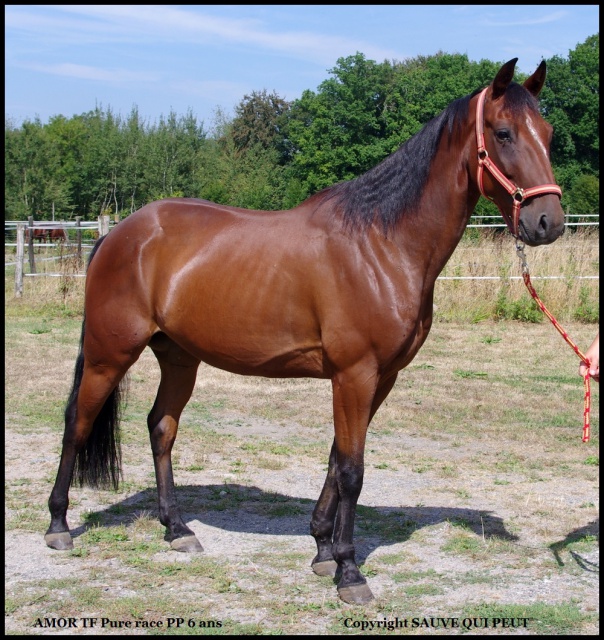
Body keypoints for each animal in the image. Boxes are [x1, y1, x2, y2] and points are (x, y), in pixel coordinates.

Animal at [46, 57, 568, 604]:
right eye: (504, 133)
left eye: (548, 134)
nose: (548, 221)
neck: (382, 244)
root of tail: (120, 233)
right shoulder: (354, 374)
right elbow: (353, 470)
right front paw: (349, 571)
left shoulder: (380, 378)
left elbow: (338, 459)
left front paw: (321, 549)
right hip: (109, 353)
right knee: (77, 423)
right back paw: (59, 525)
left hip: (179, 357)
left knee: (161, 427)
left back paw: (177, 529)